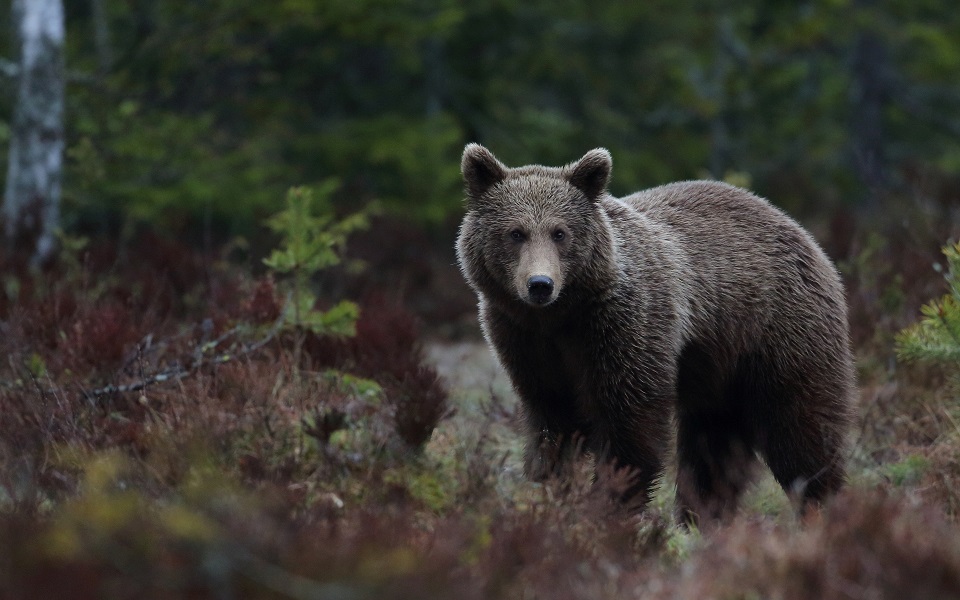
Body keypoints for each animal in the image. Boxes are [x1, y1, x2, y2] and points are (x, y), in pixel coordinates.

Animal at [458, 143, 856, 524]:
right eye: (516, 233)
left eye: (560, 232)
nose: (540, 284)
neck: (562, 317)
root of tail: (803, 233)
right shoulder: (524, 340)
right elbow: (553, 421)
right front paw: (554, 489)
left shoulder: (624, 327)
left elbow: (630, 424)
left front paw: (608, 505)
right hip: (719, 371)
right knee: (713, 448)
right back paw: (703, 519)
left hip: (779, 334)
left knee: (801, 432)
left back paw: (820, 508)